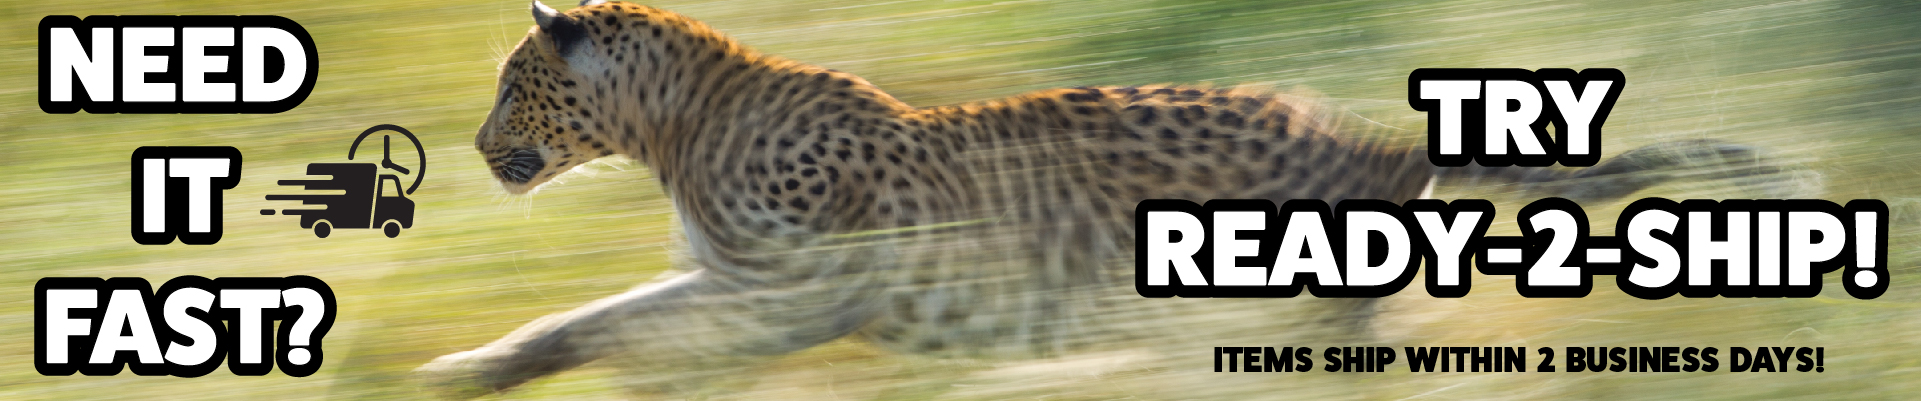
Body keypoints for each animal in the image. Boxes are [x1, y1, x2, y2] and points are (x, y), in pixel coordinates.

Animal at [420, 0, 1795, 398]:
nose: (478, 149)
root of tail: (1374, 146)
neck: (676, 126)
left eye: (512, 86)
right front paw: (484, 365)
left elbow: (636, 328)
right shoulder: (734, 278)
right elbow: (593, 314)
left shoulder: (795, 294)